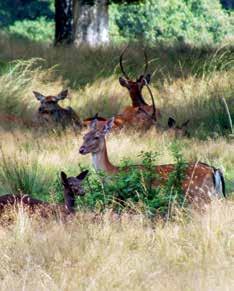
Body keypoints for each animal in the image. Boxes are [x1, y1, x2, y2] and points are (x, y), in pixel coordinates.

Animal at [79, 117, 226, 209]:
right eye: (84, 136)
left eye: (96, 137)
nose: (81, 149)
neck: (113, 173)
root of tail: (214, 170)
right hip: (215, 194)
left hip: (199, 194)